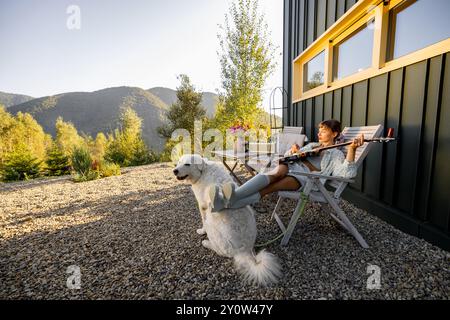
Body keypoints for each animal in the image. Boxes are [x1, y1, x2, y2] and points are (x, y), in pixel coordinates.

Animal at [173, 154, 282, 286]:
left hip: (212, 225)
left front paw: (201, 231)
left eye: (187, 164)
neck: (203, 171)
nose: (174, 171)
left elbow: (202, 220)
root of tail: (245, 251)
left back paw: (206, 243)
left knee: (218, 250)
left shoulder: (202, 206)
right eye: (178, 163)